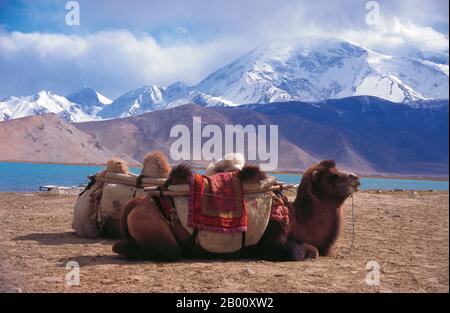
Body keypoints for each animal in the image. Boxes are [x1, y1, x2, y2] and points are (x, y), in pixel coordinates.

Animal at [111, 160, 358, 260]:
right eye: (333, 175)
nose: (356, 177)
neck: (297, 219)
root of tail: (134, 203)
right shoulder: (273, 242)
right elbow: (307, 251)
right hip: (156, 229)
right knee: (168, 251)